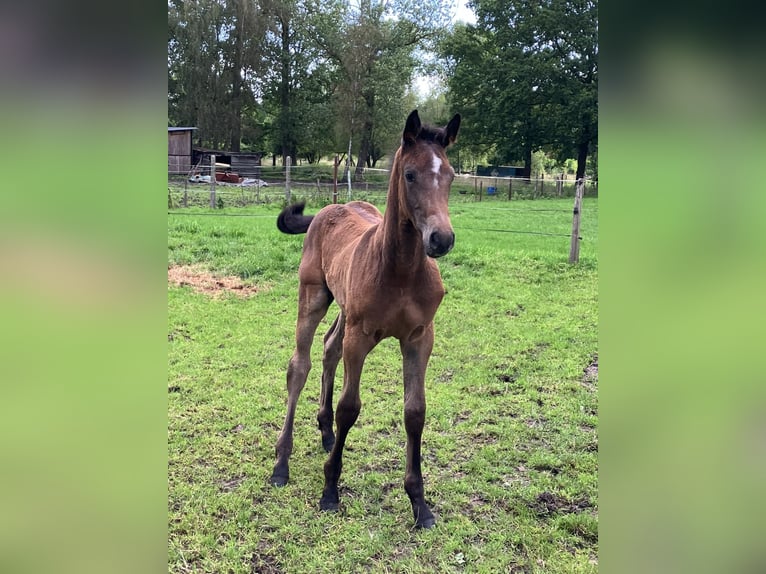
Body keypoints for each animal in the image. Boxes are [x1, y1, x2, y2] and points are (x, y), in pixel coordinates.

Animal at [272, 110, 462, 528]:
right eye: (410, 174)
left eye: (451, 174)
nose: (441, 239)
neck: (401, 271)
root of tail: (329, 208)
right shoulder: (360, 336)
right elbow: (350, 407)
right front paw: (330, 489)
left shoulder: (419, 337)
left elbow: (415, 412)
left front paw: (420, 504)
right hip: (314, 297)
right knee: (300, 365)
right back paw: (281, 462)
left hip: (344, 309)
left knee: (329, 348)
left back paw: (325, 431)